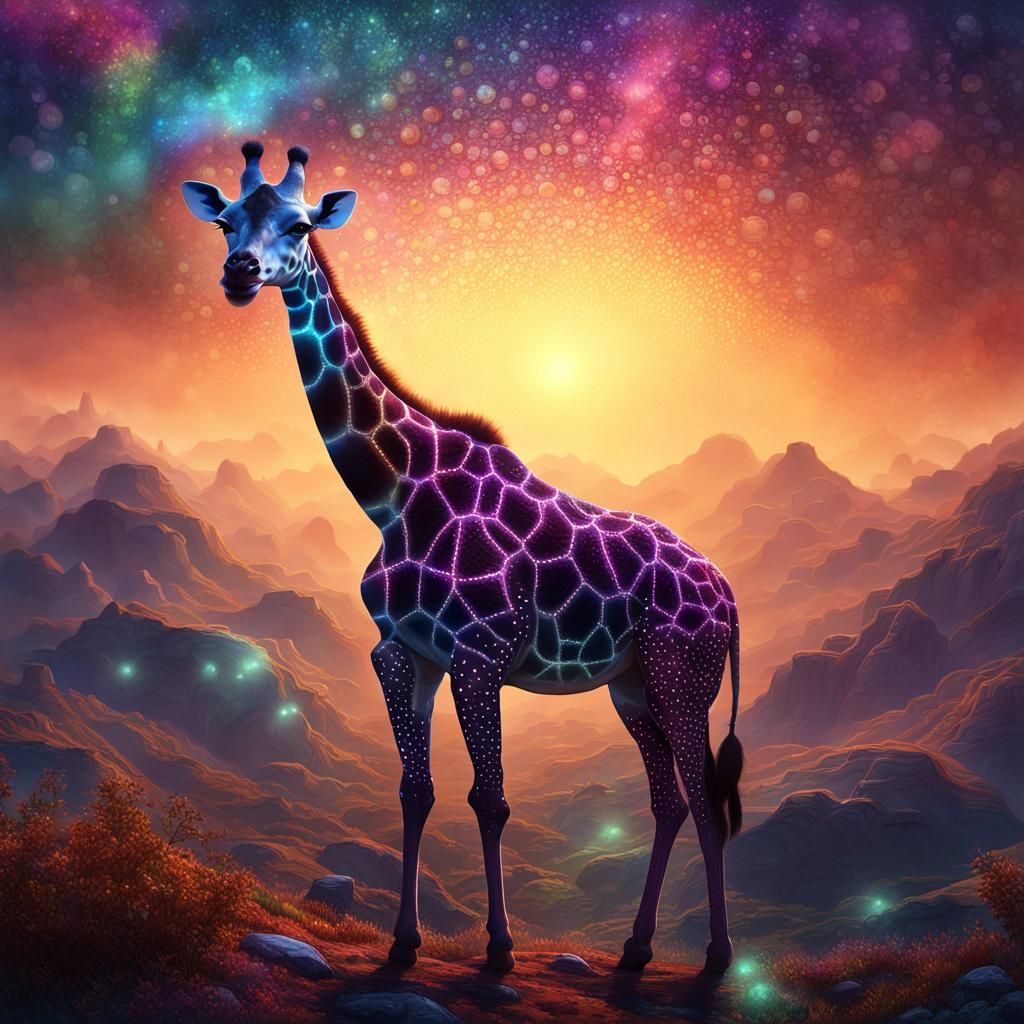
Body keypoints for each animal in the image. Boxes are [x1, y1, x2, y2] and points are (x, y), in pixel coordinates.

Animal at [181, 142, 745, 975]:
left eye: (300, 223)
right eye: (225, 221)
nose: (241, 273)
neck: (391, 493)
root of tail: (732, 598)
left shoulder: (481, 654)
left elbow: (492, 797)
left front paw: (501, 949)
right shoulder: (403, 653)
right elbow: (416, 790)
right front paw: (404, 943)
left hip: (683, 676)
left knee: (704, 797)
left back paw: (714, 958)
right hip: (633, 685)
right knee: (669, 799)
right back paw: (636, 949)